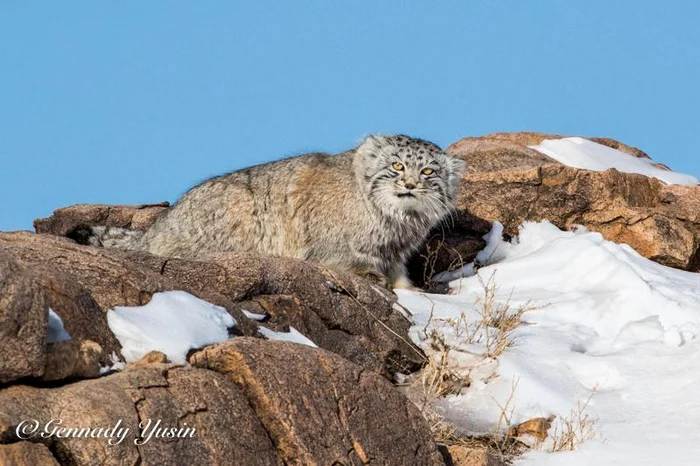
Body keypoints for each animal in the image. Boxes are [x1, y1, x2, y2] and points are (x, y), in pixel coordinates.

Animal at [69, 134, 464, 288]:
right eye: (397, 166)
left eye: (428, 172)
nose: (410, 184)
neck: (392, 221)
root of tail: (156, 230)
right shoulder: (329, 243)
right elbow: (343, 259)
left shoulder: (395, 253)